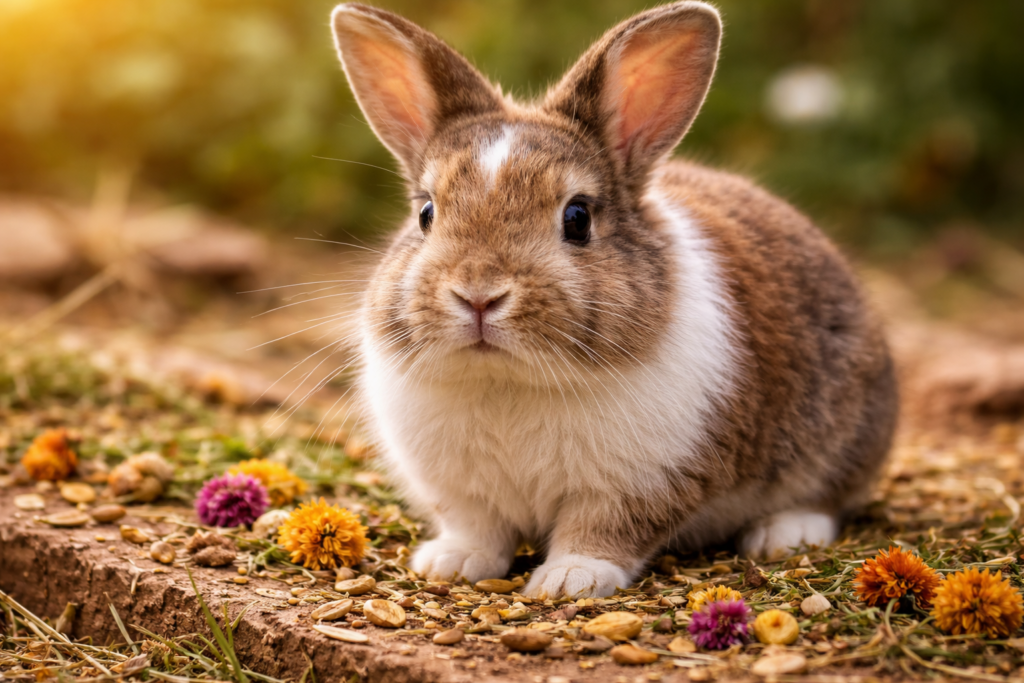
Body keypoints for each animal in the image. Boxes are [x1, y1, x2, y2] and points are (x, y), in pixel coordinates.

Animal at [329, 0, 897, 599]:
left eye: (577, 218)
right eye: (426, 213)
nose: (479, 294)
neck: (509, 378)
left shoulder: (640, 484)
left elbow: (603, 530)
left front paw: (569, 579)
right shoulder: (462, 492)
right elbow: (477, 528)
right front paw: (452, 563)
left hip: (840, 436)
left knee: (827, 496)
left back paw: (783, 534)